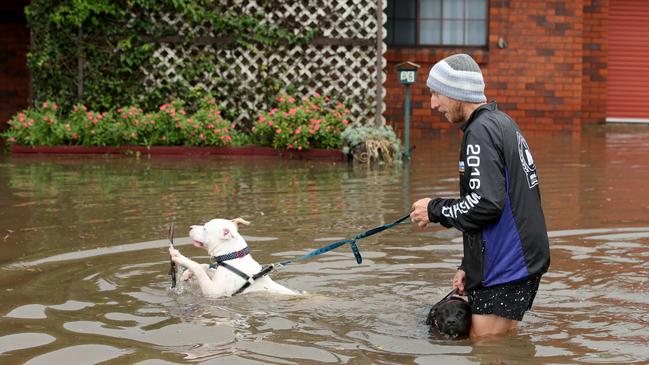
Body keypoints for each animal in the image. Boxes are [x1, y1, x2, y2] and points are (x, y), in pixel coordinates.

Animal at [168, 216, 298, 296]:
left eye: (205, 228)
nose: (190, 227)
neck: (232, 257)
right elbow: (204, 266)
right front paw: (187, 274)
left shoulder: (214, 292)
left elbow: (198, 268)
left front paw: (177, 256)